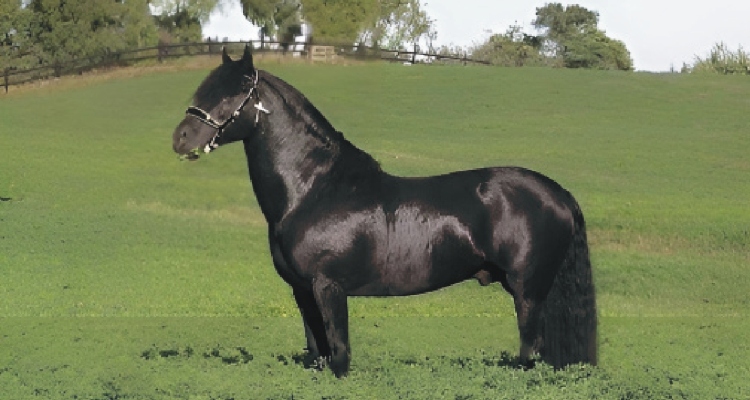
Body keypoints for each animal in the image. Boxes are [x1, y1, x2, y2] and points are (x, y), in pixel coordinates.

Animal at [172, 47, 600, 378]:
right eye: (206, 86)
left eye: (236, 93)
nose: (181, 138)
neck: (315, 190)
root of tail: (559, 193)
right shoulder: (302, 290)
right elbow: (318, 353)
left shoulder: (328, 287)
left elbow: (340, 355)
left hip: (528, 290)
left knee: (531, 348)